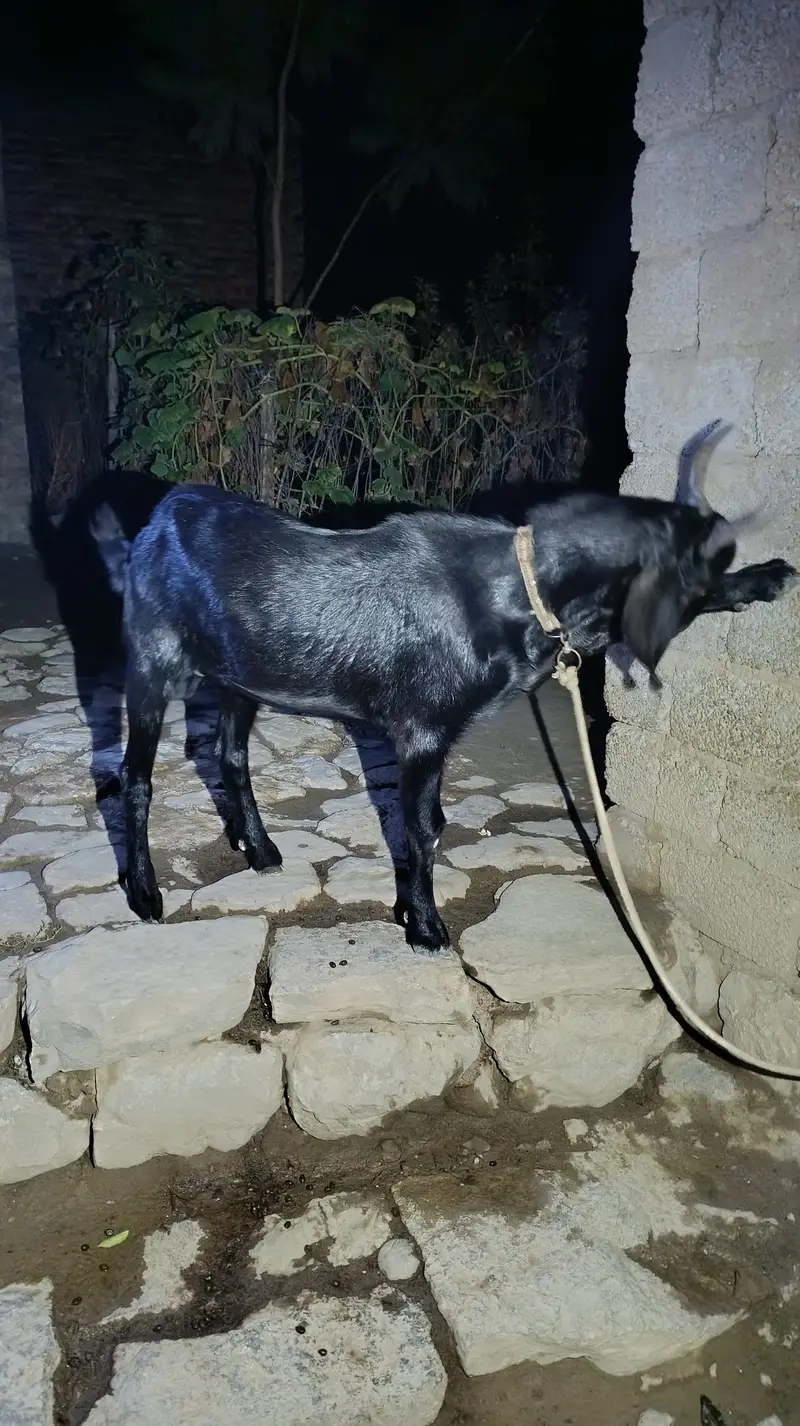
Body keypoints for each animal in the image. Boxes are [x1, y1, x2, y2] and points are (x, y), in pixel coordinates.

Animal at [92, 422, 797, 952]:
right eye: (697, 571)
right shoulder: (423, 730)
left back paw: (260, 848)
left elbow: (426, 823)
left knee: (228, 754)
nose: (768, 573)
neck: (517, 588)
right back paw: (145, 892)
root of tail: (153, 527)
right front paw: (426, 927)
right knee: (135, 776)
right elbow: (421, 827)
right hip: (152, 665)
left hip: (242, 675)